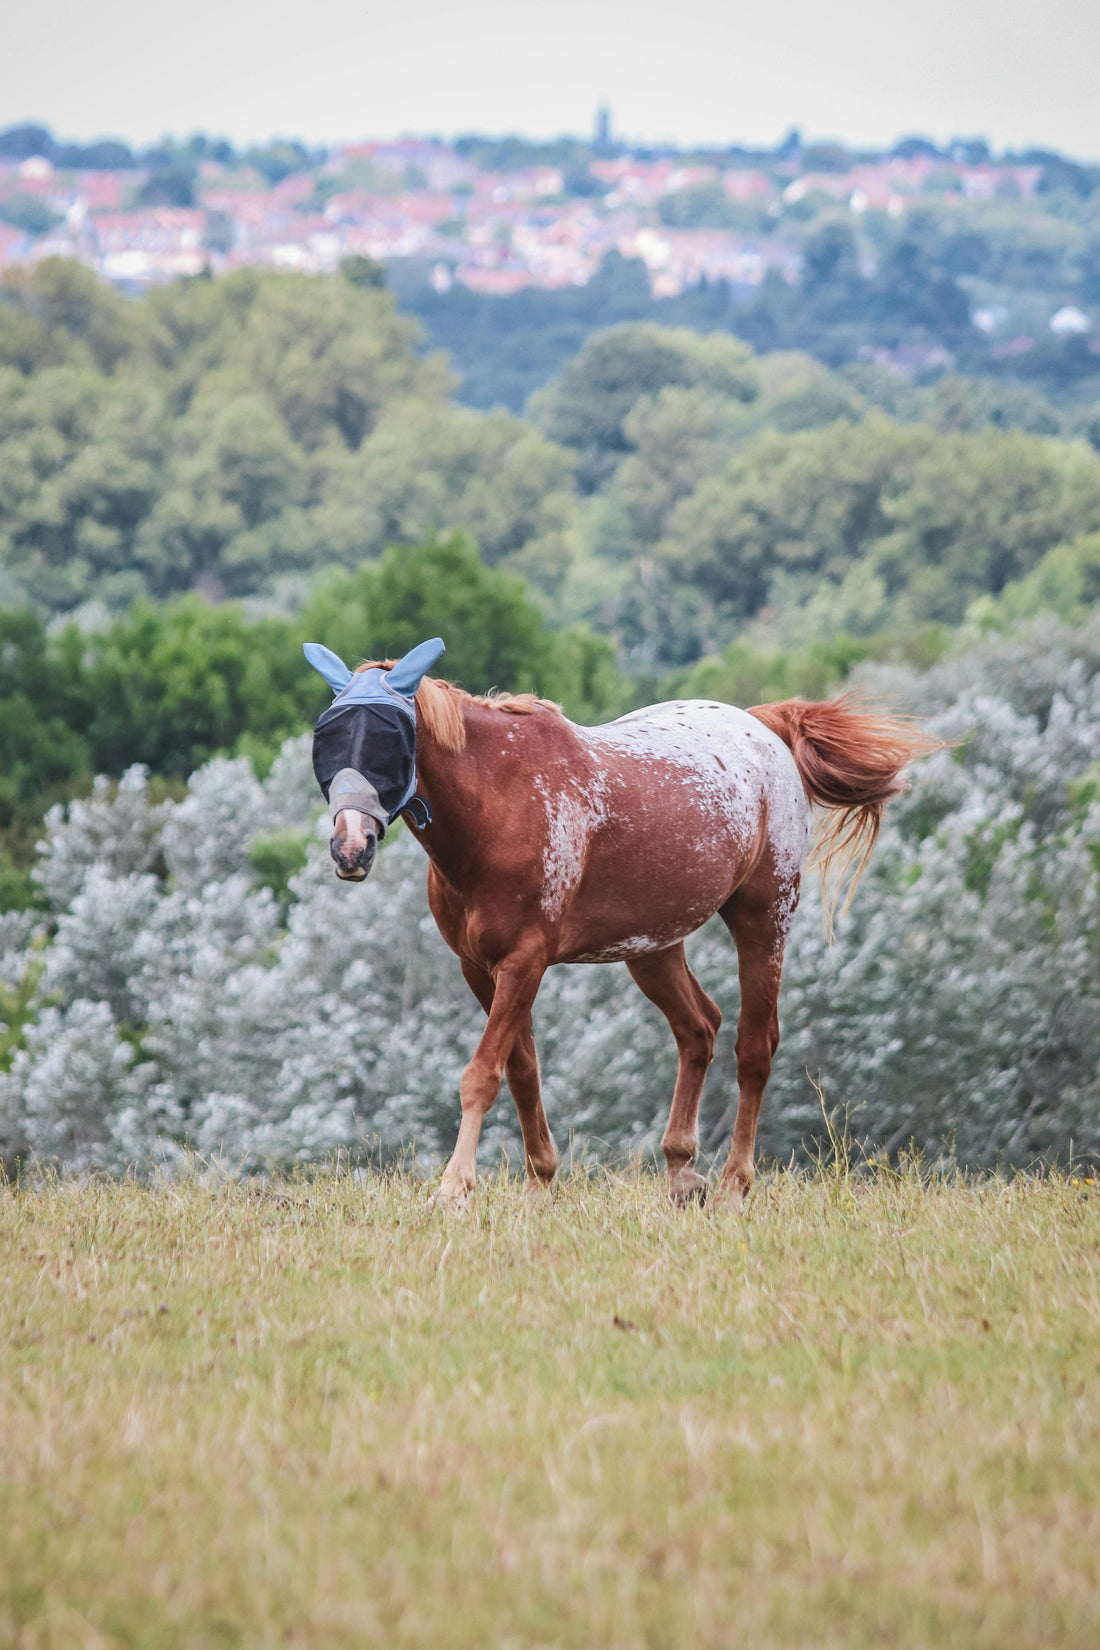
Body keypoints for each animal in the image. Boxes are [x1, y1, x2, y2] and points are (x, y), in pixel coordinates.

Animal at [304, 637, 938, 1209]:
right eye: (327, 738)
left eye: (389, 740)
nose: (350, 848)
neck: (500, 803)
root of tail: (763, 726)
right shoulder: (479, 968)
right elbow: (522, 1070)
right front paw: (539, 1184)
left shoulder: (524, 961)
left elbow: (481, 1075)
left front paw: (454, 1189)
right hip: (653, 947)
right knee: (698, 1028)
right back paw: (681, 1172)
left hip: (764, 919)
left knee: (755, 1047)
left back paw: (734, 1185)